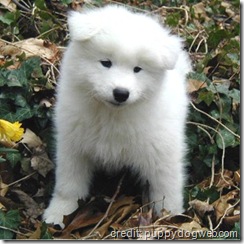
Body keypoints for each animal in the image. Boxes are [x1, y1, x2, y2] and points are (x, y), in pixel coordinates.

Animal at [44, 4, 192, 228]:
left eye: (138, 69)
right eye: (106, 63)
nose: (121, 93)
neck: (112, 115)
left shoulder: (162, 151)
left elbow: (167, 187)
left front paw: (169, 218)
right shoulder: (73, 145)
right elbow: (69, 184)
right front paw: (58, 213)